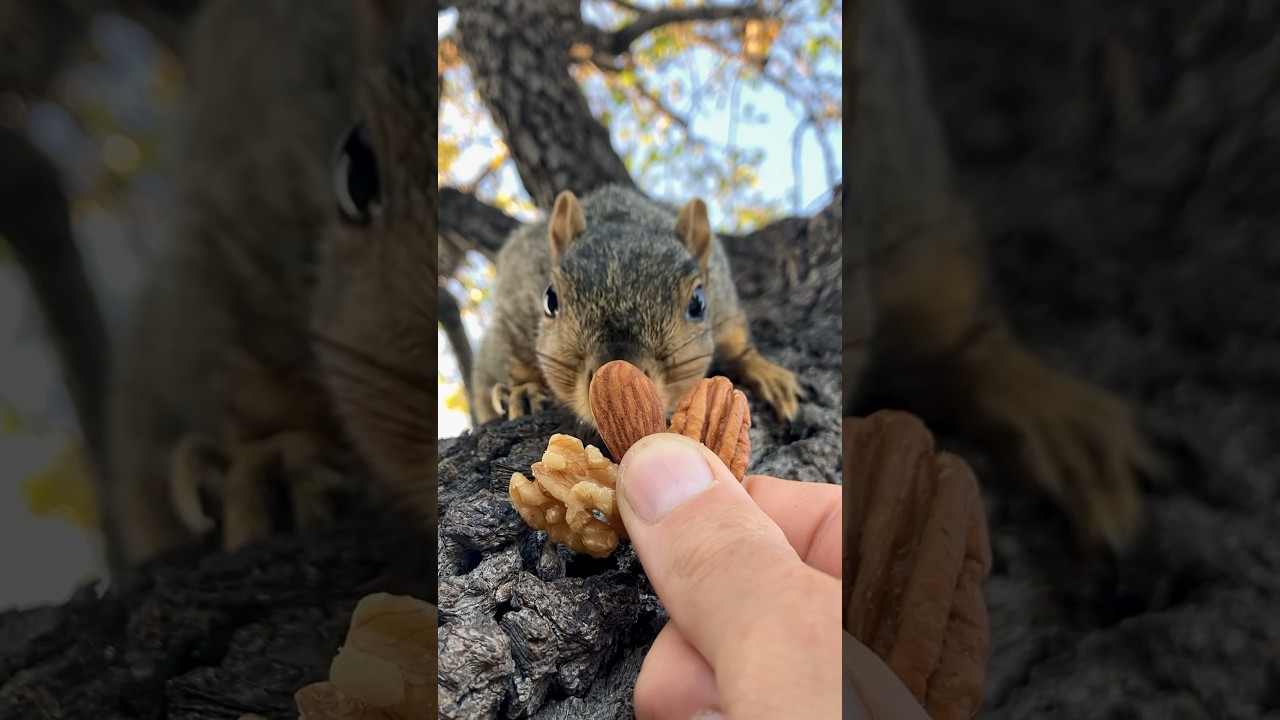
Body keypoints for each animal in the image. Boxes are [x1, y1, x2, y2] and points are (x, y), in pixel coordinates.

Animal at [471, 184, 802, 433]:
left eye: (698, 303)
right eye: (550, 300)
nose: (616, 391)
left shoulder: (722, 299)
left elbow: (736, 342)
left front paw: (766, 373)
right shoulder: (516, 307)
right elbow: (514, 363)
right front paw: (523, 390)